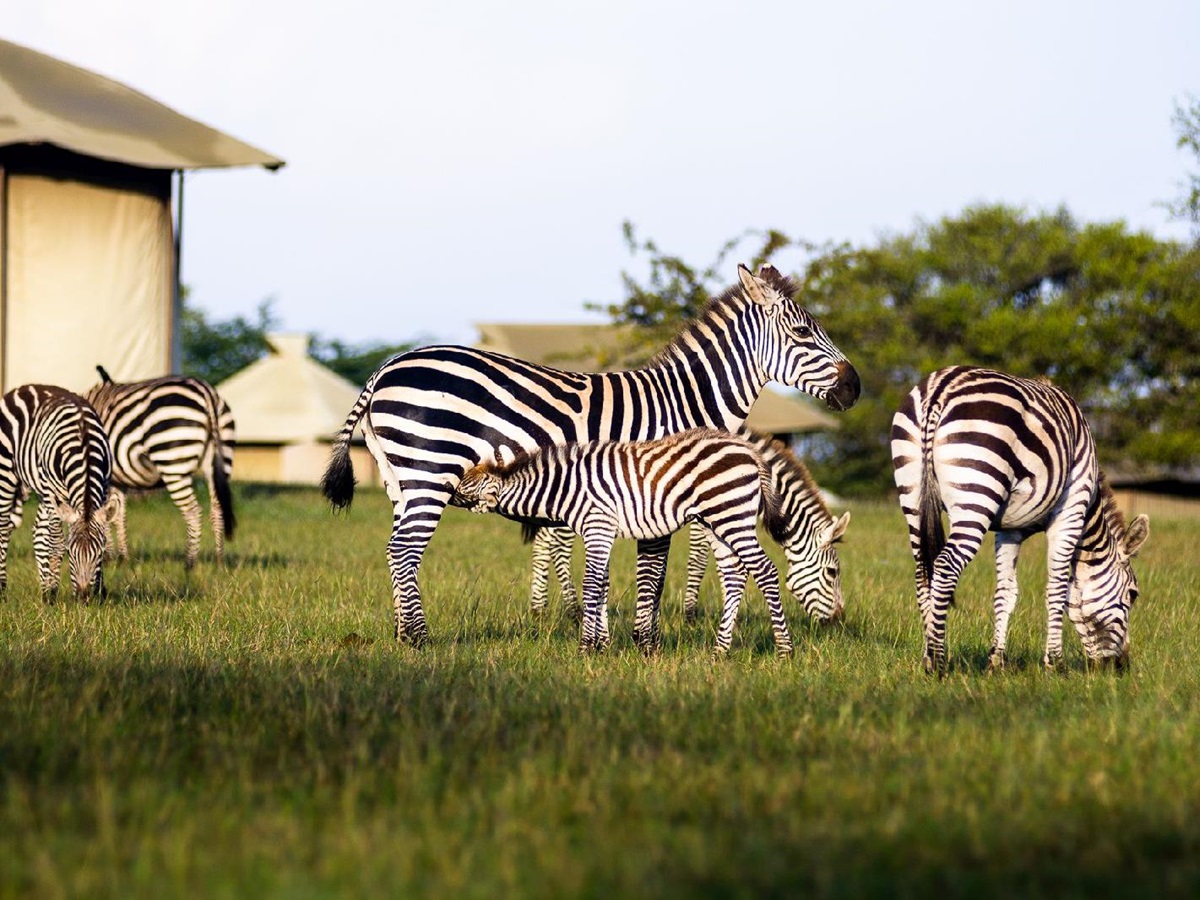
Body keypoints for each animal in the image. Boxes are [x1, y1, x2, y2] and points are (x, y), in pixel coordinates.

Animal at [0, 384, 112, 600]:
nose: (84, 598)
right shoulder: (54, 494)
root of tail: (24, 388)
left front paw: (101, 591)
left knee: (38, 532)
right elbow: (57, 542)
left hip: (40, 489)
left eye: (99, 554)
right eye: (71, 553)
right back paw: (4, 588)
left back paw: (44, 591)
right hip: (8, 474)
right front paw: (53, 591)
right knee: (3, 529)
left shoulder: (103, 490)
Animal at [86, 368, 236, 569]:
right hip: (220, 459)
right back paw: (219, 563)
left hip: (172, 460)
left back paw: (189, 564)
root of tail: (207, 393)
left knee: (193, 511)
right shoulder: (117, 480)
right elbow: (118, 516)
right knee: (218, 509)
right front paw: (123, 558)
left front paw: (107, 557)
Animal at [455, 428, 793, 656]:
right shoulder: (599, 533)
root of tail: (749, 451)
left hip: (732, 515)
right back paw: (719, 651)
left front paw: (585, 648)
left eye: (463, 486)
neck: (564, 488)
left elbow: (591, 584)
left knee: (764, 571)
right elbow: (602, 584)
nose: (446, 483)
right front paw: (601, 646)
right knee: (734, 576)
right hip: (717, 522)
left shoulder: (597, 525)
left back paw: (784, 649)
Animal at [890, 366, 1150, 675]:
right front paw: (1055, 663)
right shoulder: (1070, 512)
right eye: (1133, 594)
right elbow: (1057, 587)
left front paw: (996, 661)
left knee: (922, 571)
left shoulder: (1009, 531)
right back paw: (938, 661)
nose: (1120, 666)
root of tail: (941, 388)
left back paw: (927, 653)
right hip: (977, 494)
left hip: (912, 493)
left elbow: (1006, 591)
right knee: (945, 566)